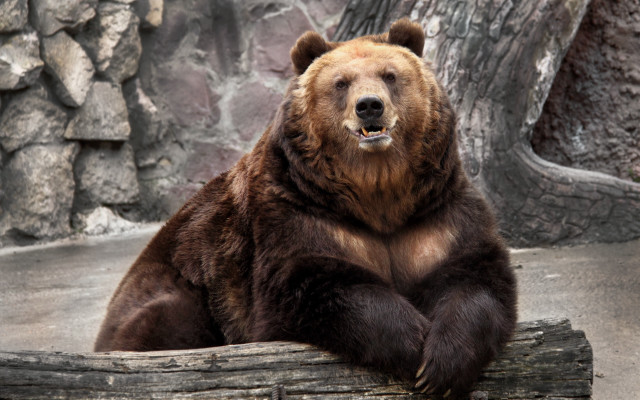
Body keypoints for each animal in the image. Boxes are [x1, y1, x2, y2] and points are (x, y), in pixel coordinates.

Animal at [94, 19, 517, 398]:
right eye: (341, 82)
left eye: (390, 75)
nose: (369, 106)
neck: (378, 194)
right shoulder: (298, 210)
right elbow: (313, 283)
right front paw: (412, 344)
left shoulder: (435, 214)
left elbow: (474, 276)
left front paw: (442, 364)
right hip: (182, 284)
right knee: (164, 321)